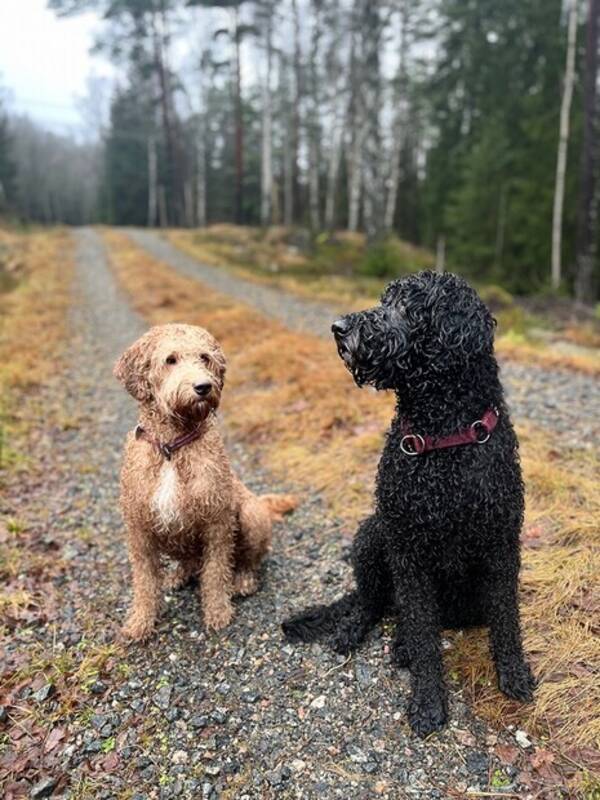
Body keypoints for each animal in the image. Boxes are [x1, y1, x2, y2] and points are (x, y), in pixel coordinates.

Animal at [113, 322, 296, 640]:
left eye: (204, 357)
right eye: (170, 359)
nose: (203, 387)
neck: (172, 448)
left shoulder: (217, 522)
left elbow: (215, 573)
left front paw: (218, 613)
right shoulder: (139, 528)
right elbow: (145, 581)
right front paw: (140, 622)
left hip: (251, 516)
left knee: (247, 560)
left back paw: (243, 580)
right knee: (189, 562)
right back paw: (178, 575)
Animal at [284, 274, 536, 736]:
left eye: (407, 307)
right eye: (385, 300)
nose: (338, 327)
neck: (445, 442)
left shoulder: (501, 545)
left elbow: (506, 621)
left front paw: (512, 673)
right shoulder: (408, 552)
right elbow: (423, 636)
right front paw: (428, 701)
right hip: (371, 536)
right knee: (371, 602)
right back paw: (355, 630)